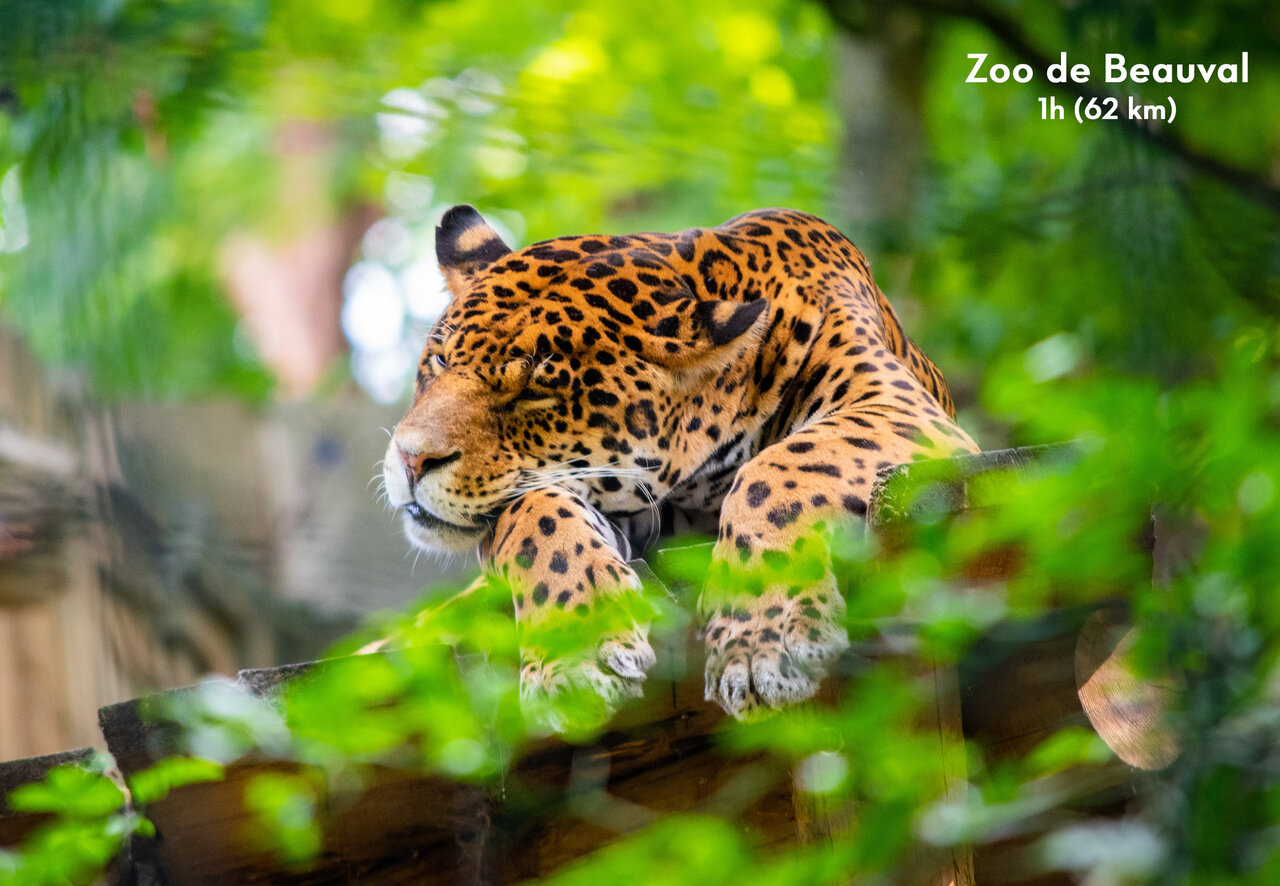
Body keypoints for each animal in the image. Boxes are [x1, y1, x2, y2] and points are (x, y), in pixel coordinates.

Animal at [381, 204, 978, 718]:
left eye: (534, 391)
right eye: (439, 360)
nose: (410, 459)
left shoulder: (893, 406)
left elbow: (781, 466)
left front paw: (762, 639)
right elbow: (532, 512)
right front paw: (575, 655)